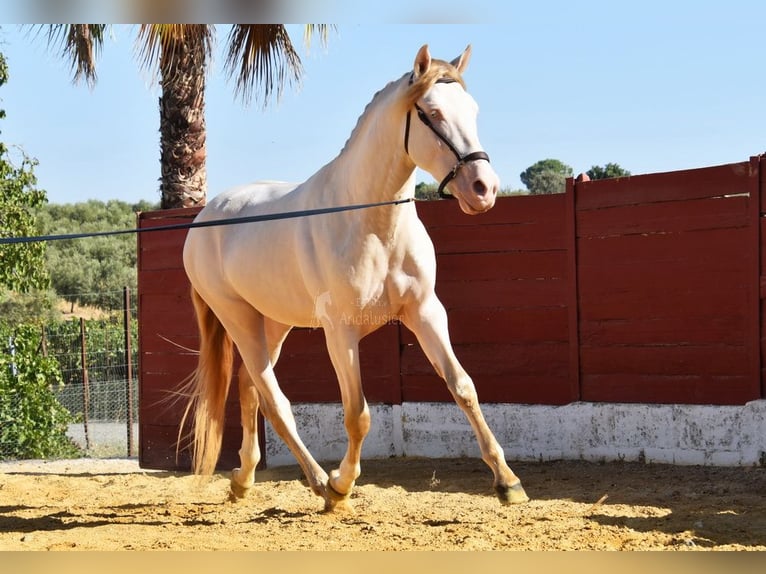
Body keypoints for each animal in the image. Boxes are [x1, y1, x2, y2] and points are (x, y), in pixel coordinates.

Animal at [181, 44, 529, 511]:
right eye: (432, 113)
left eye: (472, 110)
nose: (483, 188)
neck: (371, 224)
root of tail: (205, 216)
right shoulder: (340, 332)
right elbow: (358, 414)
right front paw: (342, 485)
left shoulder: (425, 312)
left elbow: (463, 387)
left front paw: (507, 481)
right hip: (238, 319)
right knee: (275, 401)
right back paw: (318, 483)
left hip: (274, 323)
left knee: (250, 389)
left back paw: (244, 478)